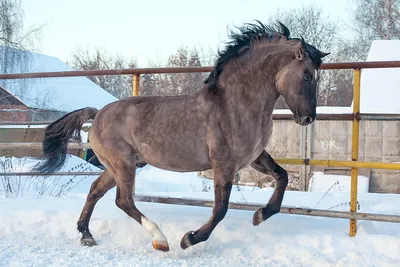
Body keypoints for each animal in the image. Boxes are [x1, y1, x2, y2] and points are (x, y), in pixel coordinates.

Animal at [35, 21, 328, 253]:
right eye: (306, 76)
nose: (307, 118)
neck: (236, 104)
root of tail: (97, 114)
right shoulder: (223, 164)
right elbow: (220, 208)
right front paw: (190, 239)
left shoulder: (253, 157)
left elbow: (283, 177)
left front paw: (260, 215)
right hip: (123, 164)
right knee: (123, 200)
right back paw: (161, 240)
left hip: (117, 166)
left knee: (96, 190)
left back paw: (86, 235)